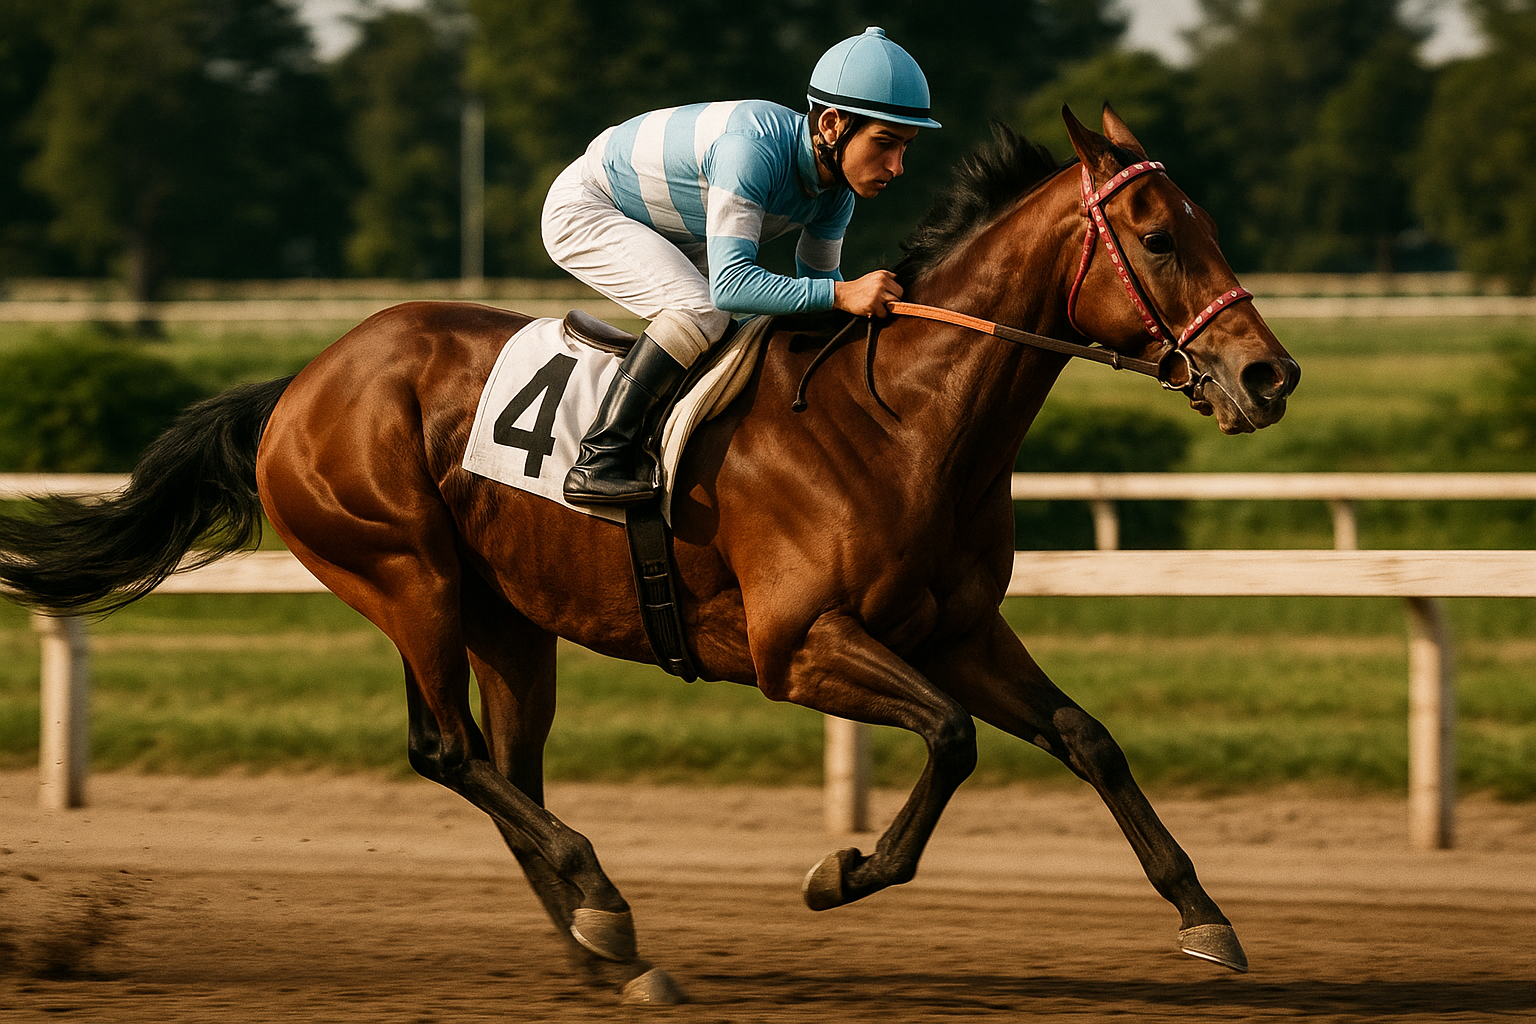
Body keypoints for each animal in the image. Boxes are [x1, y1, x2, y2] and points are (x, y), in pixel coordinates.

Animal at [0, 107, 1298, 1003]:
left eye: (1210, 225)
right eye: (1156, 234)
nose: (1269, 374)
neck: (902, 418)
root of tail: (300, 383)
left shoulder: (959, 627)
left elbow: (1086, 736)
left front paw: (1206, 916)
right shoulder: (798, 645)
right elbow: (951, 739)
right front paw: (841, 872)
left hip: (505, 616)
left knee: (505, 767)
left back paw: (603, 942)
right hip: (404, 573)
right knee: (448, 750)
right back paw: (607, 911)